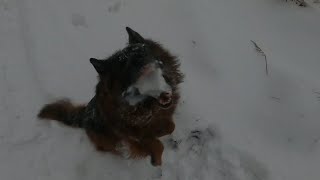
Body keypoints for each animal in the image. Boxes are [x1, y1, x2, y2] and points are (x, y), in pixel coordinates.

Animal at [38, 26, 182, 166]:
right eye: (124, 65)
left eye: (142, 51)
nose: (139, 59)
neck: (147, 108)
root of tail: (84, 115)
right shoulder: (127, 133)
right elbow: (151, 141)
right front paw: (154, 154)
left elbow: (170, 126)